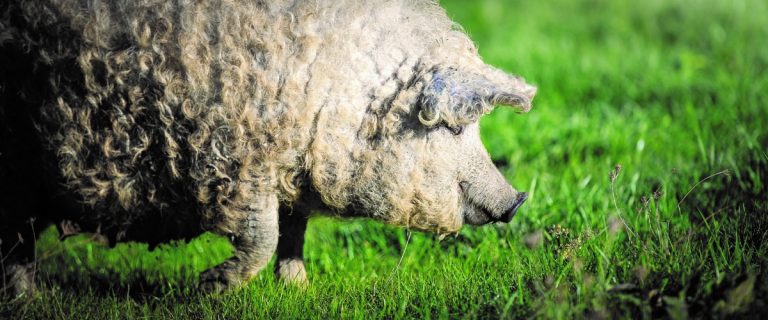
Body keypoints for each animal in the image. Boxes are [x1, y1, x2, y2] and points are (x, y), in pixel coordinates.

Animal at [0, 0, 536, 296]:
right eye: (452, 129)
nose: (517, 200)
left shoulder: (289, 172)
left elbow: (292, 232)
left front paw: (298, 290)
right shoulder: (229, 159)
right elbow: (261, 235)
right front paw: (207, 289)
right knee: (17, 239)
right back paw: (27, 300)